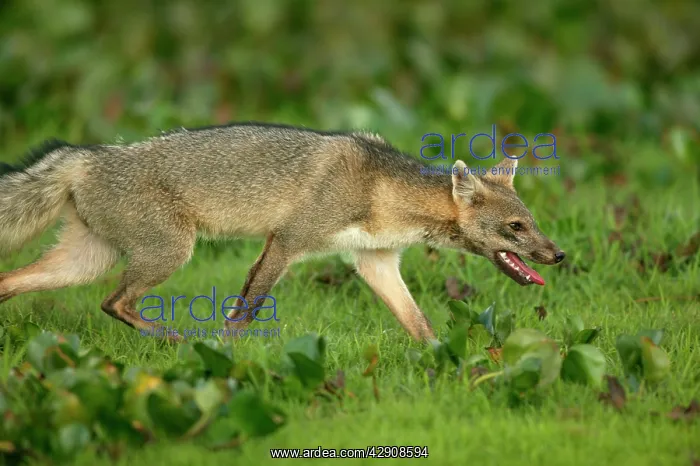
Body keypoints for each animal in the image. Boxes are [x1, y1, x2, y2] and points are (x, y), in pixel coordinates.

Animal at [0, 123, 565, 342]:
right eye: (517, 227)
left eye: (534, 224)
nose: (559, 256)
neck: (382, 191)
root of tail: (86, 155)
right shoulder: (287, 243)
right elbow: (244, 312)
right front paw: (219, 358)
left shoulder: (376, 262)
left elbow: (420, 325)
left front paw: (446, 363)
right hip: (169, 254)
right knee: (115, 302)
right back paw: (176, 339)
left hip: (82, 264)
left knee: (13, 283)